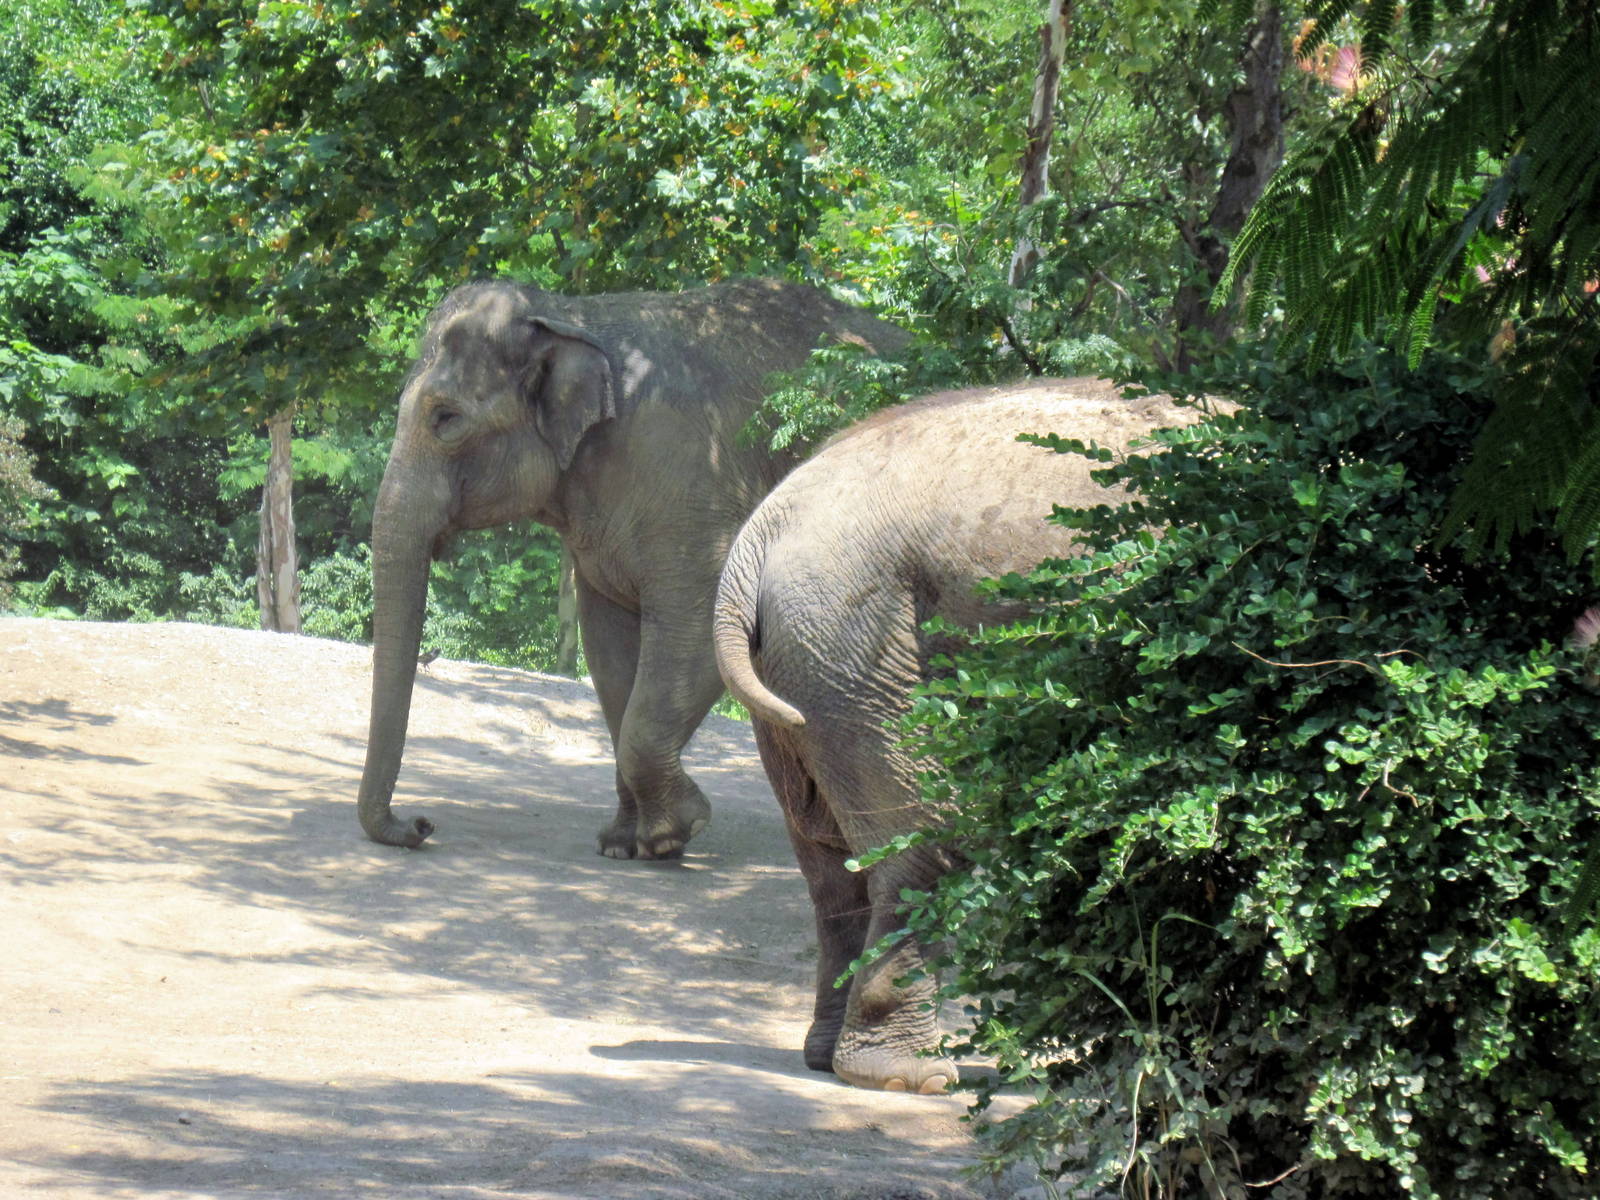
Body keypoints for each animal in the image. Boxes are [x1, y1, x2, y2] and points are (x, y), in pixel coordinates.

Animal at [357, 277, 907, 859]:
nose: (421, 823)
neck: (571, 316)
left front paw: (672, 835)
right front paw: (622, 844)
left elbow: (695, 633)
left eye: (445, 418)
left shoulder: (695, 487)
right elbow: (608, 648)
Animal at [713, 378, 1203, 1092]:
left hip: (805, 663)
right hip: (863, 648)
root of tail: (759, 534)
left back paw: (828, 1057)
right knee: (924, 844)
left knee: (828, 863)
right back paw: (905, 1078)